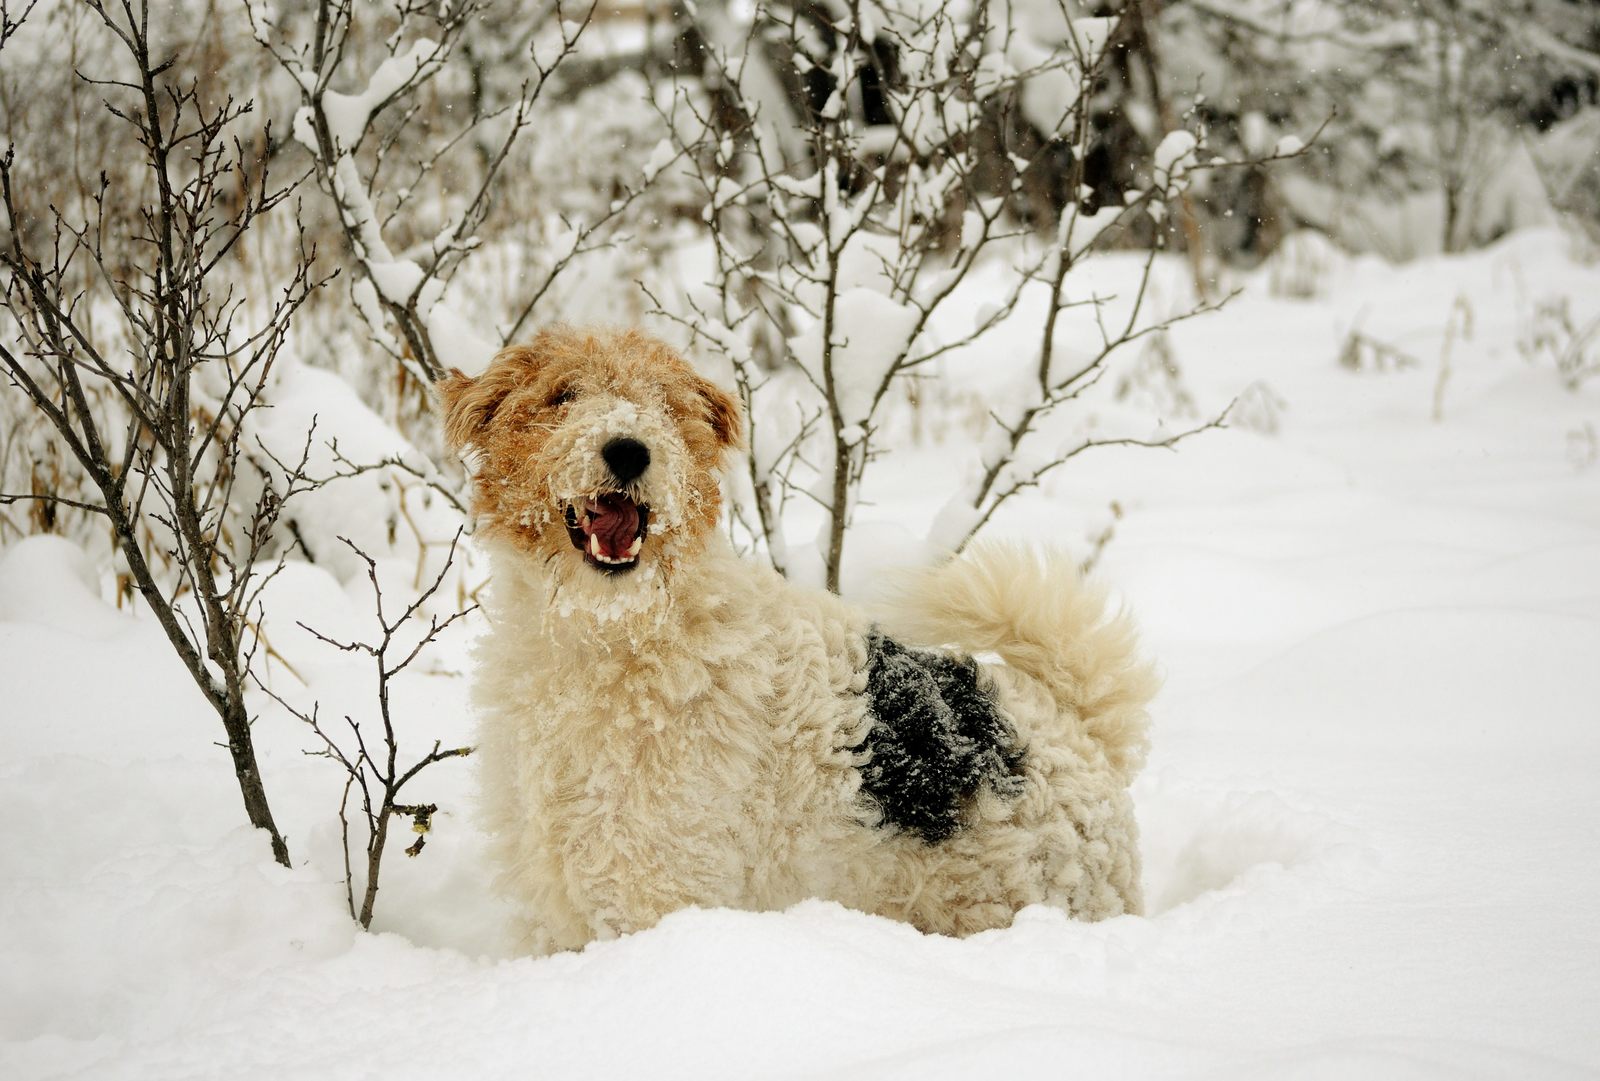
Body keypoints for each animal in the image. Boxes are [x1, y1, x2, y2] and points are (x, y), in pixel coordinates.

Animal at [444, 324, 1158, 953]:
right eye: (562, 394)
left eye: (668, 405)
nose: (628, 450)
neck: (612, 635)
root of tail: (1085, 730)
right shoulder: (556, 898)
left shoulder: (660, 887)